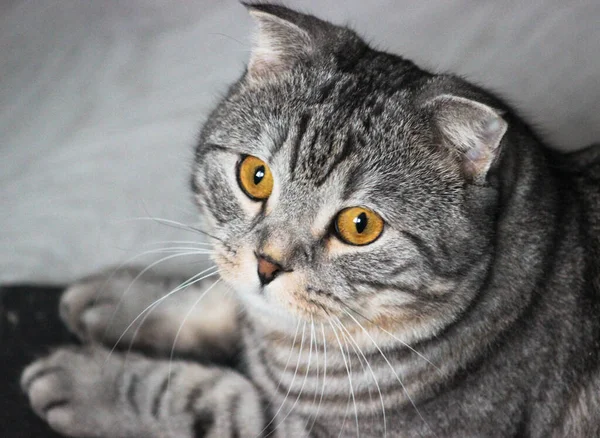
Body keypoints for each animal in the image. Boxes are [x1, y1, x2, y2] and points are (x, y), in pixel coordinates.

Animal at [19, 3, 600, 438]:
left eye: (360, 226)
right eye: (255, 176)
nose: (267, 265)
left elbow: (208, 400)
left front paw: (88, 381)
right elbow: (221, 296)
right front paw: (118, 297)